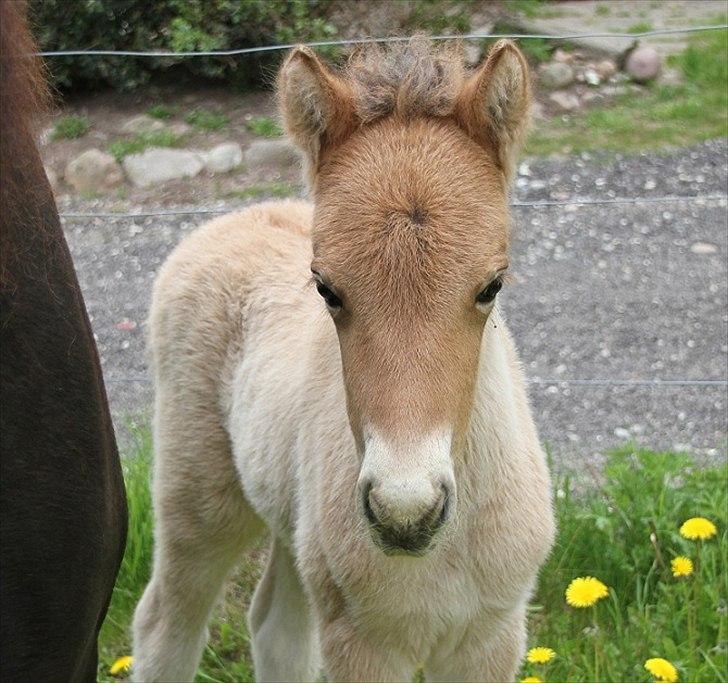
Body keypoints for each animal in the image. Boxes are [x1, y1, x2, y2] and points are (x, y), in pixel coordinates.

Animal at [134, 38, 556, 683]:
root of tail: (233, 218)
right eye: (327, 289)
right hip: (198, 497)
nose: (405, 512)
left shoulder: (491, 635)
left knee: (276, 628)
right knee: (166, 620)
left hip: (292, 525)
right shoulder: (362, 643)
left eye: (492, 285)